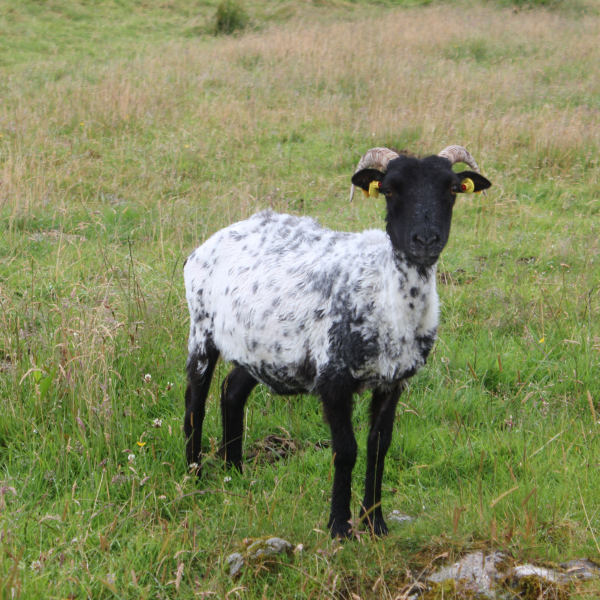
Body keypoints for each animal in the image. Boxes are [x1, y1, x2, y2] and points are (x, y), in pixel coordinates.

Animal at [183, 145, 492, 540]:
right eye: (389, 190)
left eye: (453, 189)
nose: (425, 240)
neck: (389, 298)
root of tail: (219, 236)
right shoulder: (332, 378)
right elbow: (345, 451)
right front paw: (339, 526)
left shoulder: (393, 381)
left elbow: (379, 447)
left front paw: (375, 523)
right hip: (201, 328)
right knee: (195, 403)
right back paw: (194, 476)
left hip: (260, 346)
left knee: (232, 391)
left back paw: (234, 470)